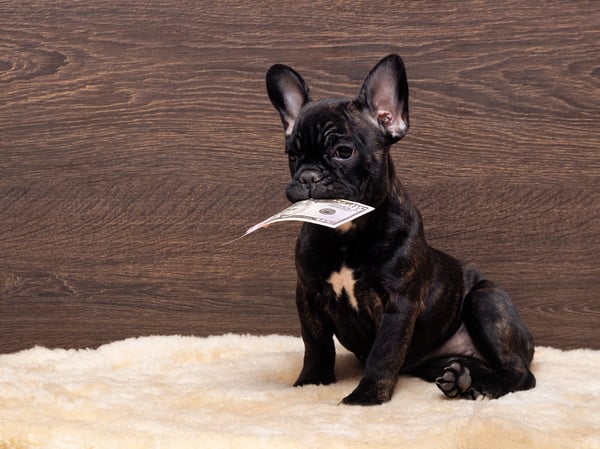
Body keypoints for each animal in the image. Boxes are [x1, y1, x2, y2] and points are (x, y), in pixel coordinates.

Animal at [264, 54, 536, 404]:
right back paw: (461, 378)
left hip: (486, 301)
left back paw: (485, 385)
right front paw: (311, 382)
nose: (309, 176)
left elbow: (384, 353)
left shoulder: (398, 305)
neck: (347, 234)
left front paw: (365, 398)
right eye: (292, 155)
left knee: (520, 372)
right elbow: (316, 345)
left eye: (343, 152)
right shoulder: (309, 295)